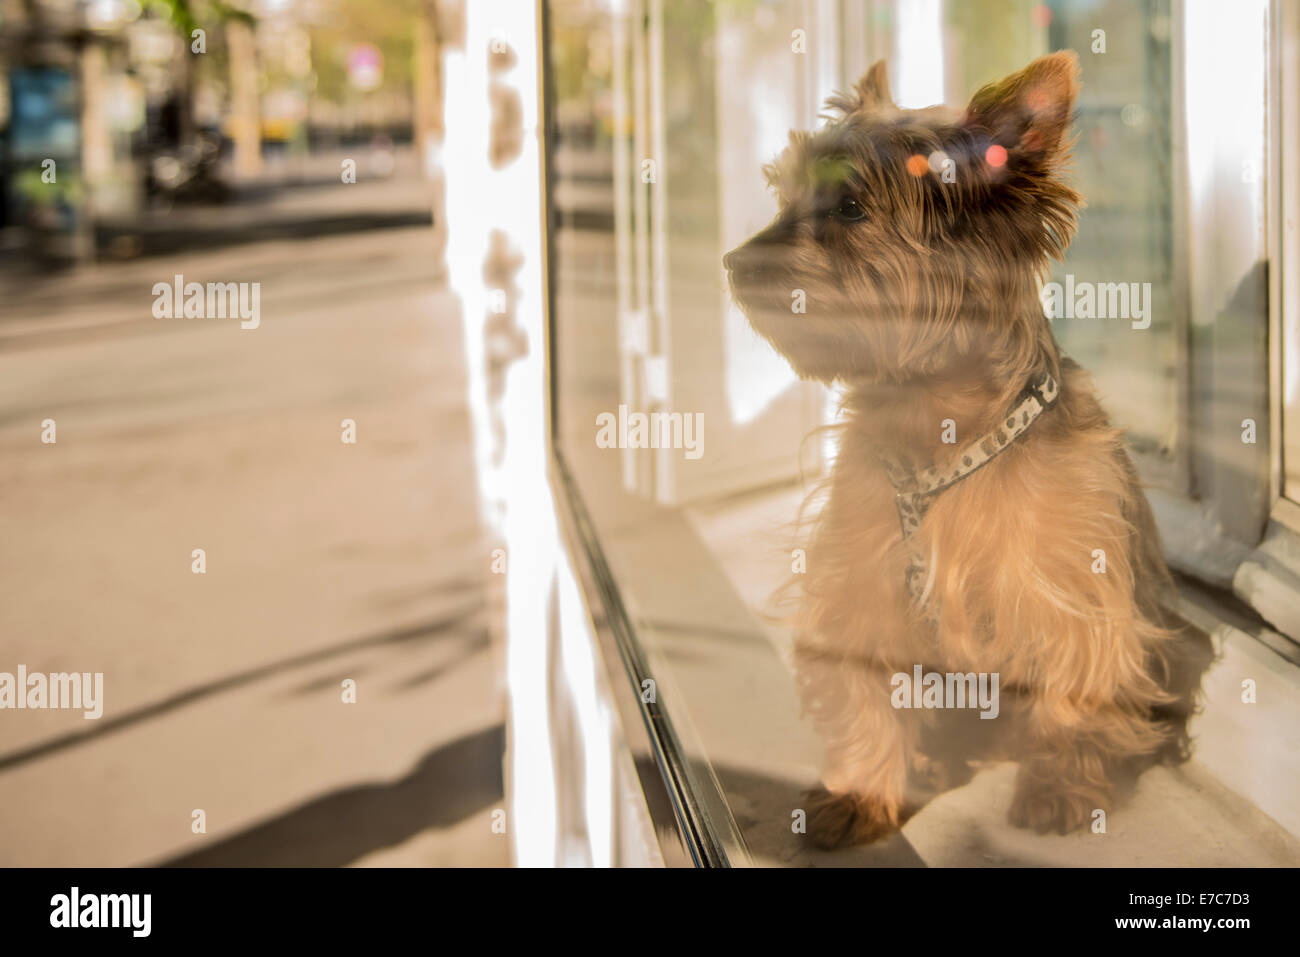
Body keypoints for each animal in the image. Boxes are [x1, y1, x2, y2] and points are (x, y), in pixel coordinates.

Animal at [722, 50, 1196, 842]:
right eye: (785, 196)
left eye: (851, 208)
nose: (731, 264)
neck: (939, 428)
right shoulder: (862, 580)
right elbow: (864, 687)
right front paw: (861, 791)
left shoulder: (1069, 582)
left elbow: (1078, 677)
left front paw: (1060, 783)